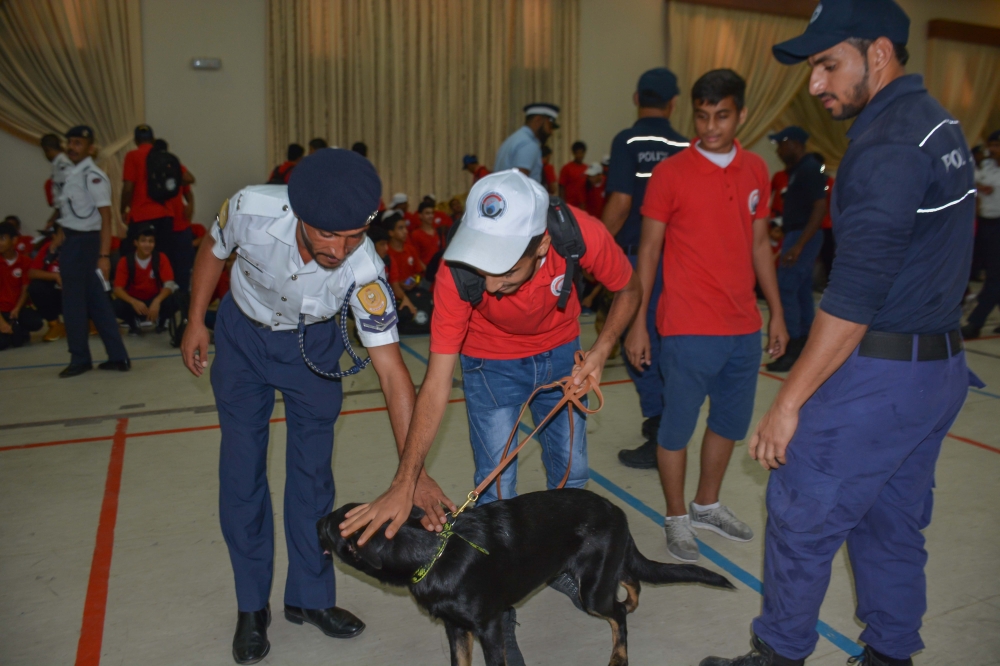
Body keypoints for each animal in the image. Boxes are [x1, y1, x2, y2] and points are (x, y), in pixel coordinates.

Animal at [320, 486, 736, 660]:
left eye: (332, 528)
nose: (316, 520)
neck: (432, 552)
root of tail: (616, 510)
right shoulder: (456, 629)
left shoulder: (488, 628)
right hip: (598, 573)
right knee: (630, 579)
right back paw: (632, 602)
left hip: (591, 590)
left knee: (616, 612)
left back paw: (619, 654)